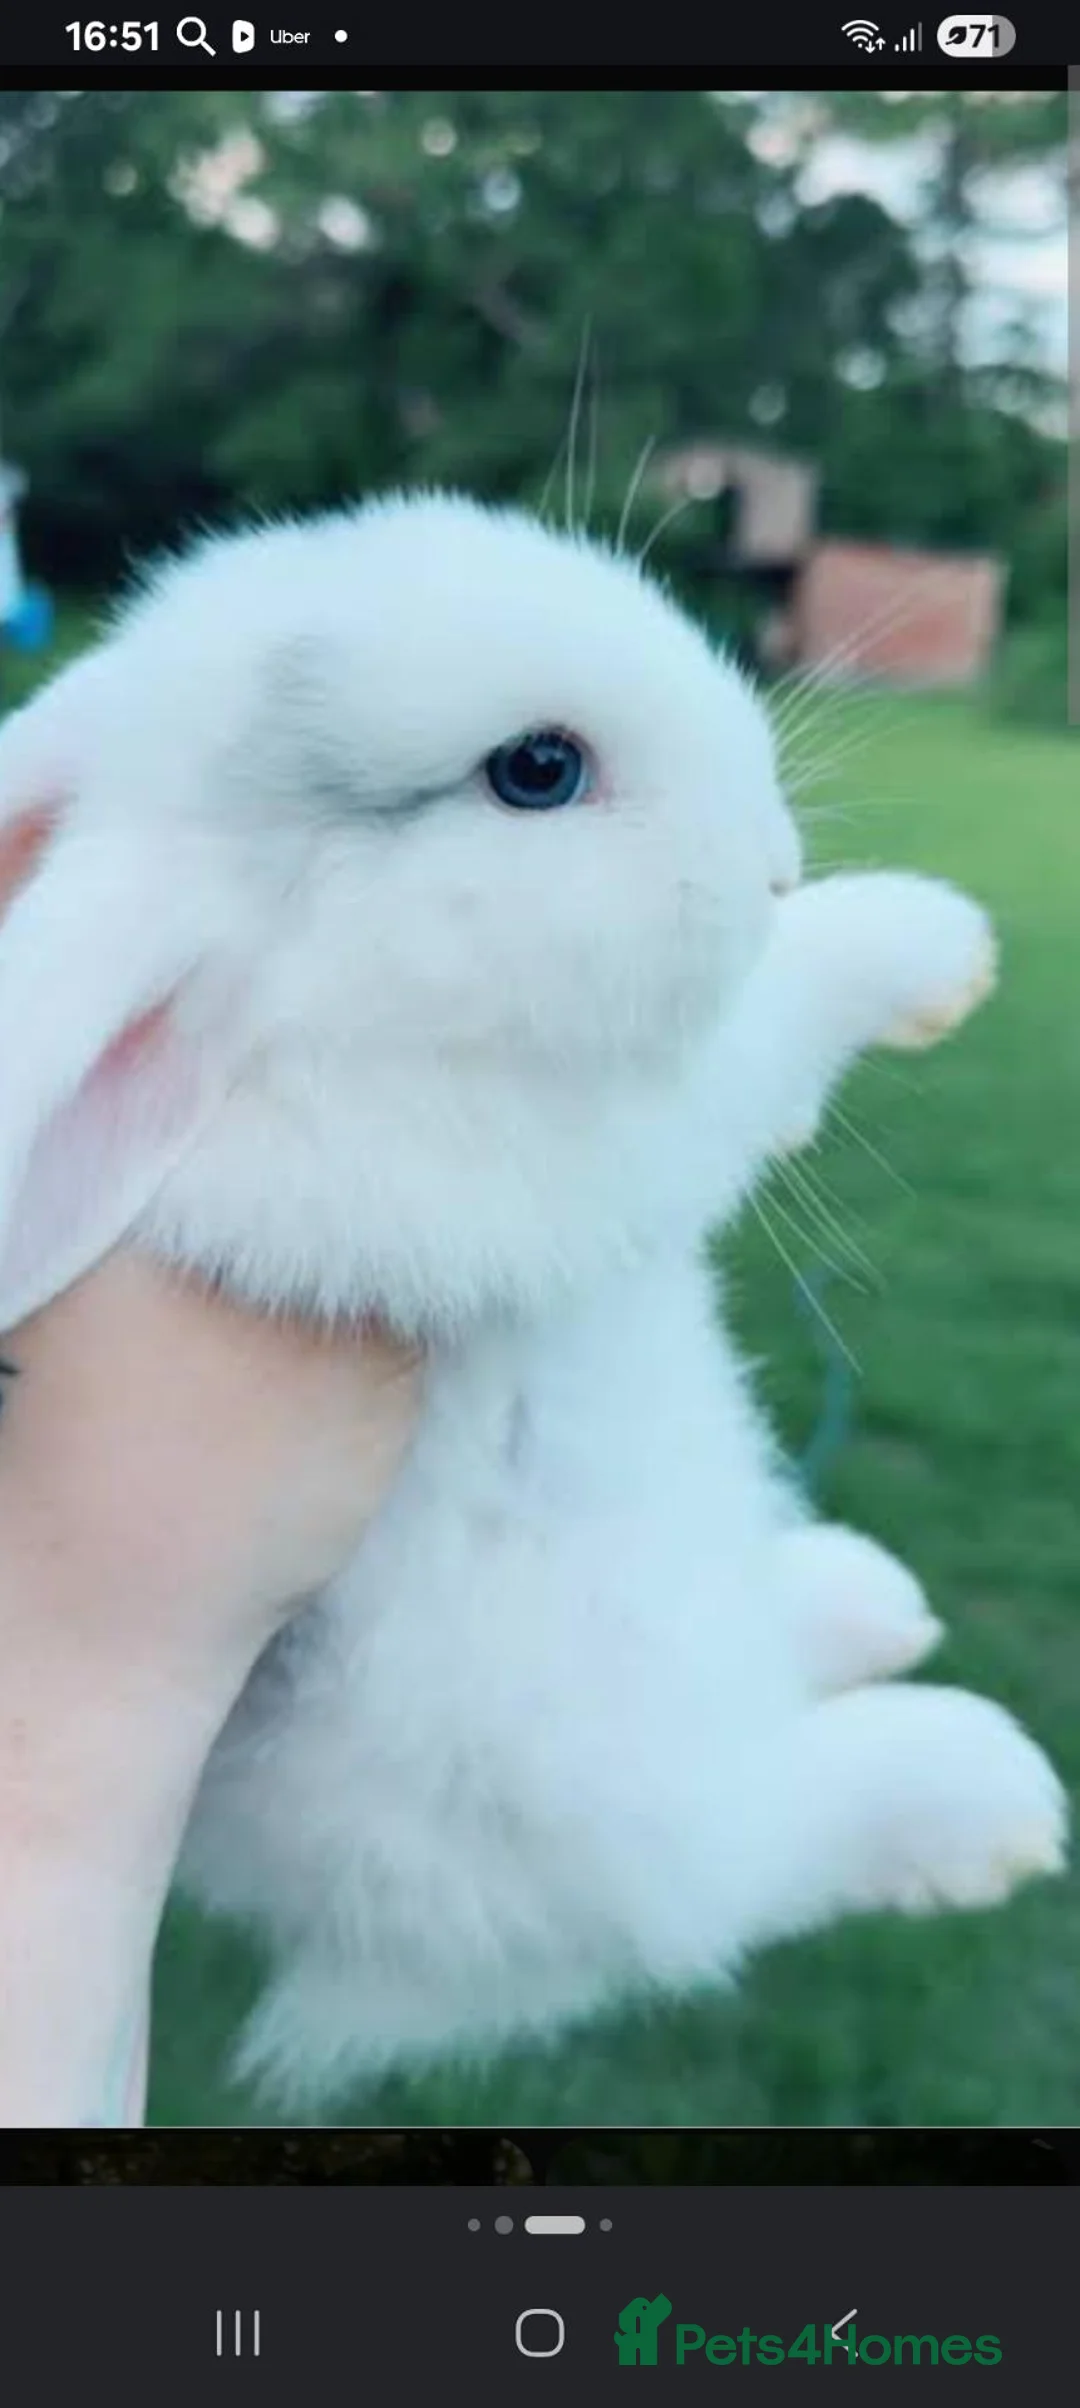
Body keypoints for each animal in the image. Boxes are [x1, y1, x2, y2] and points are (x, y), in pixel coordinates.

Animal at [0, 490, 1065, 2109]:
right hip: (620, 1781)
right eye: (538, 770)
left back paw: (860, 1597)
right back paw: (980, 1789)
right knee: (739, 1867)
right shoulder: (601, 1133)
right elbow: (759, 1030)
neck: (329, 1011)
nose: (774, 860)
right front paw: (933, 939)